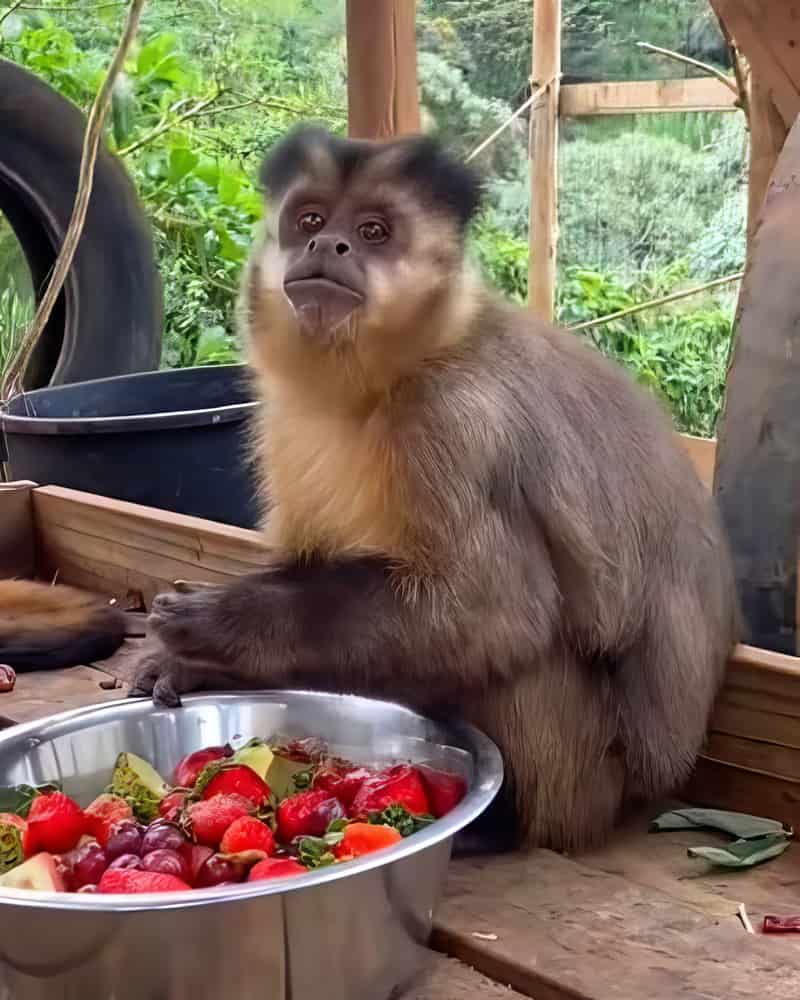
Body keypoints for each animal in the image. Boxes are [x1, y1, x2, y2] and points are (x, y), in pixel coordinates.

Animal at [130, 124, 739, 853]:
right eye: (310, 220)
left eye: (372, 232)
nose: (326, 246)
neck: (383, 380)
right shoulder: (279, 416)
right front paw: (206, 667)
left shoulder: (453, 419)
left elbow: (494, 613)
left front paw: (224, 625)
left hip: (601, 781)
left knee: (528, 649)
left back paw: (505, 826)